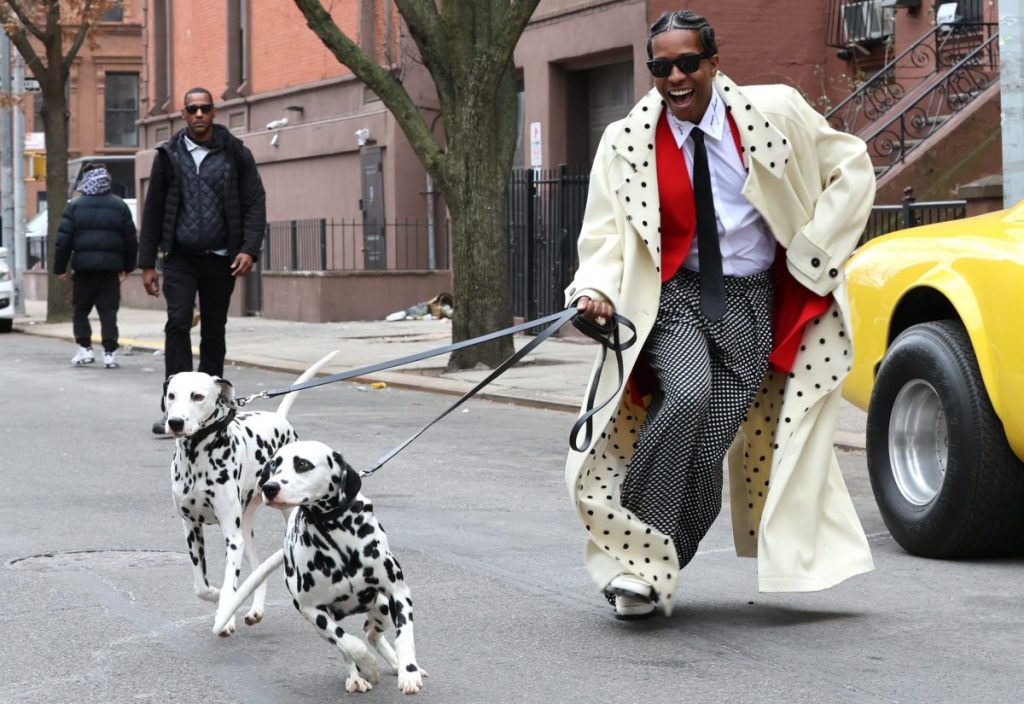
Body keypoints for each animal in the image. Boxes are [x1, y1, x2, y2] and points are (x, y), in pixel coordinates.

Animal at [161, 352, 333, 638]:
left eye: (197, 396)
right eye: (172, 395)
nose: (175, 423)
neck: (197, 458)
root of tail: (278, 418)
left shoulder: (232, 538)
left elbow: (230, 582)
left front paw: (225, 614)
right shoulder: (191, 528)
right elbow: (201, 587)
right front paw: (217, 596)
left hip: (276, 518)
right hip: (246, 529)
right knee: (258, 569)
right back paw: (255, 610)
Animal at [216, 440, 423, 691]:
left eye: (303, 464)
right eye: (274, 465)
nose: (269, 487)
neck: (338, 536)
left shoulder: (398, 592)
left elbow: (405, 637)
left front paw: (409, 673)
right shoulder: (312, 610)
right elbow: (348, 643)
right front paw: (368, 665)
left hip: (382, 609)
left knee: (372, 632)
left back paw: (396, 664)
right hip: (323, 625)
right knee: (352, 642)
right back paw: (357, 676)